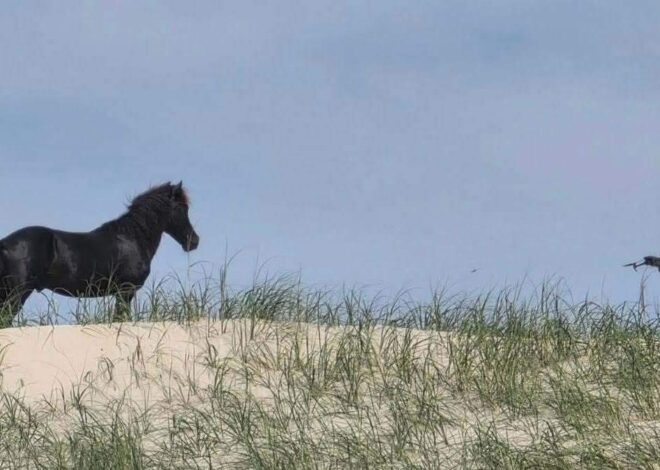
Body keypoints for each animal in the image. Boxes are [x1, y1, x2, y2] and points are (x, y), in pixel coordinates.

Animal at [0, 181, 199, 326]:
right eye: (181, 208)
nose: (194, 241)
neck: (133, 238)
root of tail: (5, 243)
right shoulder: (125, 291)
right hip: (17, 294)